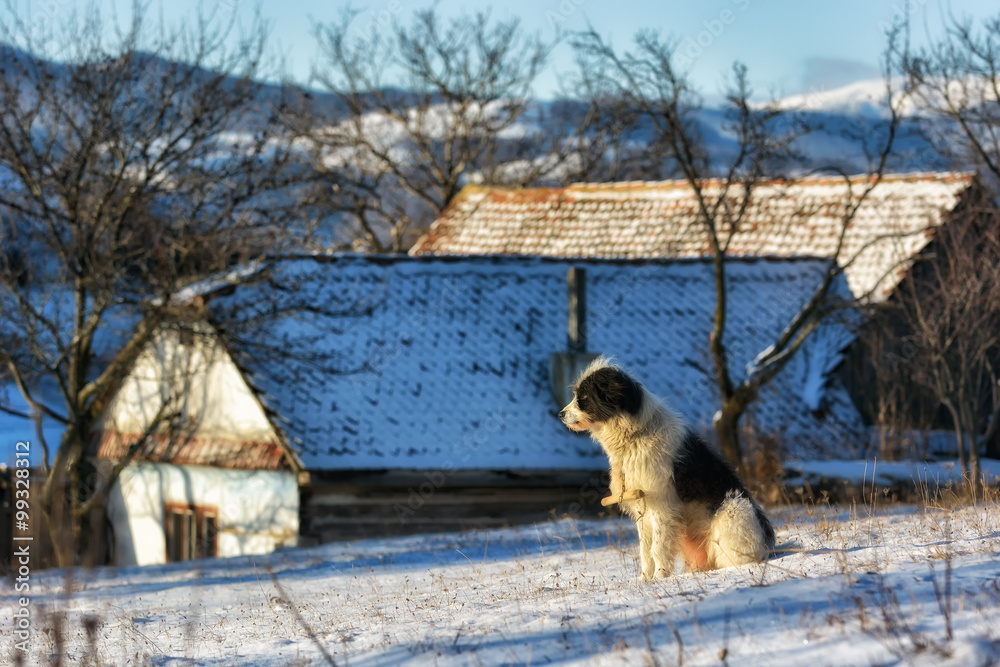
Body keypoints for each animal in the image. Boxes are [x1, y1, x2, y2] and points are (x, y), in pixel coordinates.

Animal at [560, 358, 776, 580]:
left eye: (584, 397)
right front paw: (645, 579)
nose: (560, 414)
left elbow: (658, 547)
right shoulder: (641, 506)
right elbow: (645, 549)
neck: (635, 436)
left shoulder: (661, 504)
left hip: (734, 510)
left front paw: (659, 576)